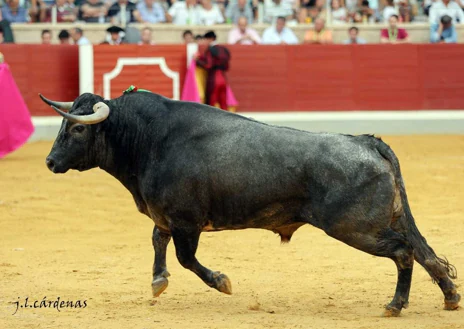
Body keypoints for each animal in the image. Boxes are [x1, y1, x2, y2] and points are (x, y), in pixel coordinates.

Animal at [40, 91, 460, 316]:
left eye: (76, 128)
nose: (50, 162)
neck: (147, 139)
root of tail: (368, 141)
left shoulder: (187, 222)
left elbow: (185, 258)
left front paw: (222, 282)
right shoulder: (167, 218)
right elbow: (158, 242)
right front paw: (158, 282)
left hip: (354, 227)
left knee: (404, 253)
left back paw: (395, 305)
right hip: (387, 219)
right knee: (426, 254)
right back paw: (451, 298)